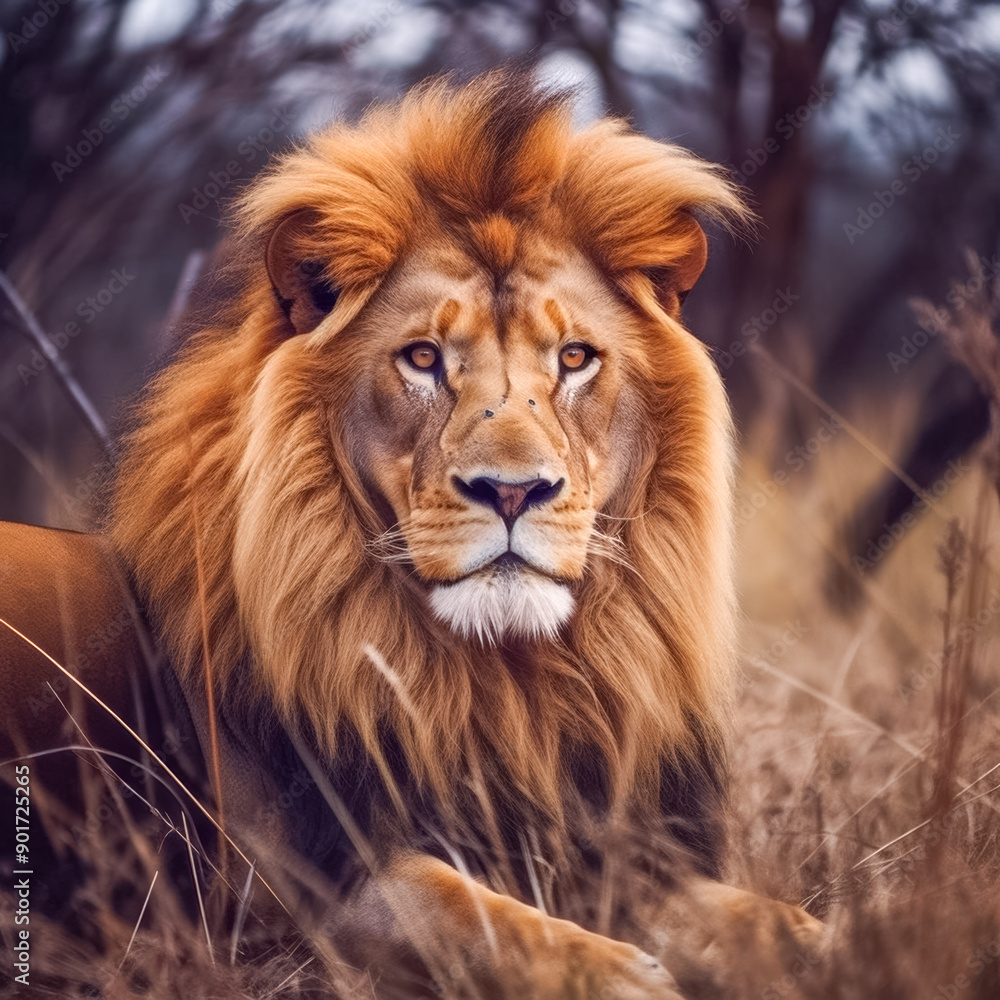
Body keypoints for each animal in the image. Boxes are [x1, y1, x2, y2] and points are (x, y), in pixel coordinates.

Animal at [0, 71, 821, 997]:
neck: (505, 685)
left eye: (575, 359)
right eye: (424, 358)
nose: (513, 490)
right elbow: (470, 914)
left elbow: (767, 919)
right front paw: (619, 975)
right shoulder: (277, 906)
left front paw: (841, 943)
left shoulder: (602, 841)